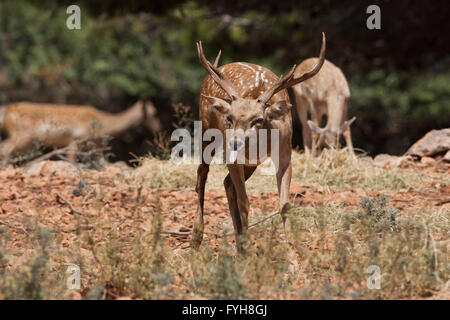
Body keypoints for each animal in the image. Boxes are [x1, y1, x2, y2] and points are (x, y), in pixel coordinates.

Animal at [0, 100, 162, 160]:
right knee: (5, 149)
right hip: (23, 136)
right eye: (154, 113)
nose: (158, 128)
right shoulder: (75, 140)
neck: (105, 123)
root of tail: (6, 110)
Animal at [192, 33, 326, 252]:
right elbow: (244, 202)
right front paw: (249, 248)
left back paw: (238, 240)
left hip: (251, 164)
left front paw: (293, 245)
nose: (234, 143)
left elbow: (284, 204)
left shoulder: (285, 154)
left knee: (226, 183)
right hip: (206, 130)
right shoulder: (233, 159)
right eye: (229, 118)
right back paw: (197, 237)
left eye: (258, 119)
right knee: (201, 175)